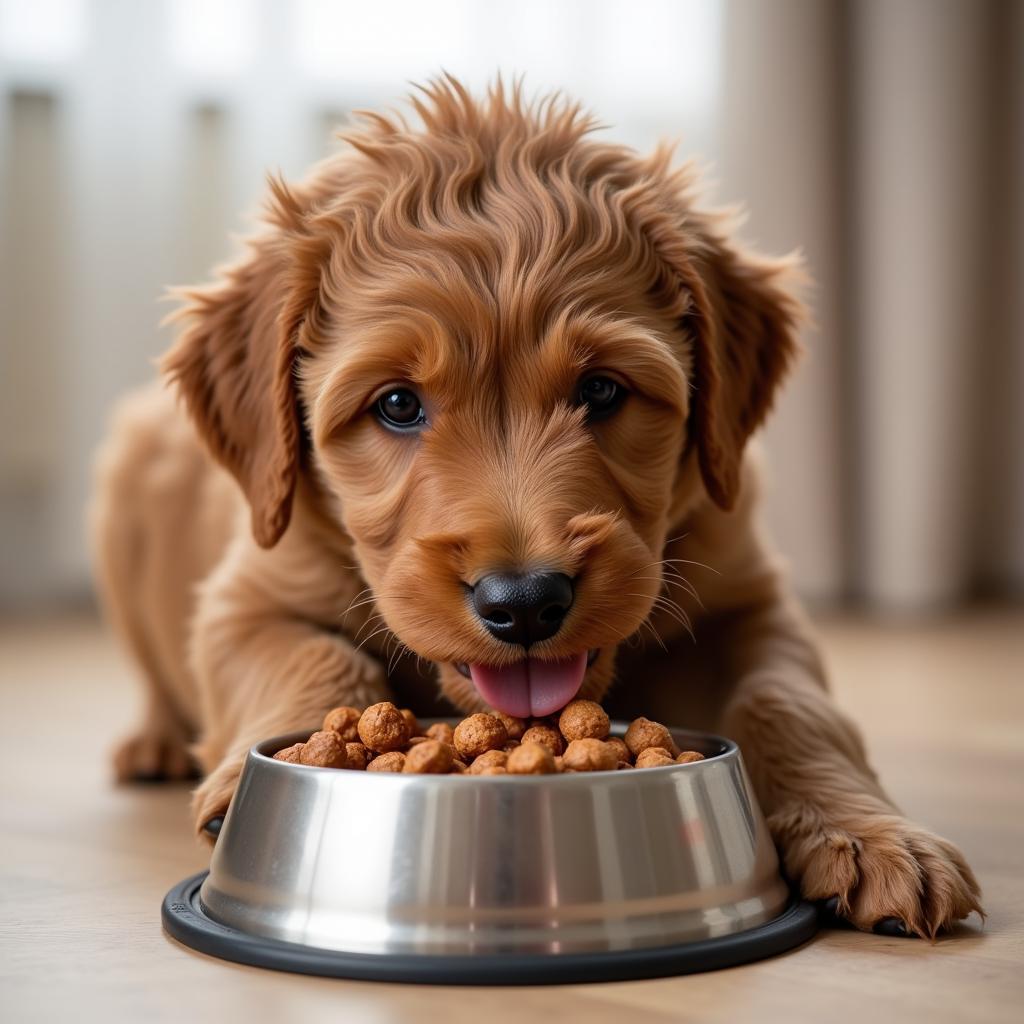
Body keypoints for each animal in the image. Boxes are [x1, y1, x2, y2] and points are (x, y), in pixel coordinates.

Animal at [92, 75, 978, 937]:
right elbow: (313, 656)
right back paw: (150, 743)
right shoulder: (244, 599)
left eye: (602, 390)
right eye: (397, 404)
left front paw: (871, 835)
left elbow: (788, 703)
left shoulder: (749, 598)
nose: (523, 602)